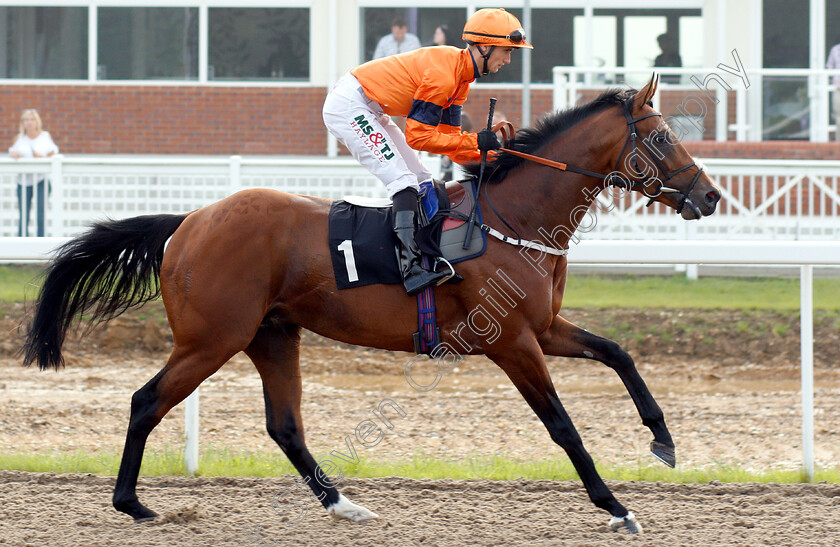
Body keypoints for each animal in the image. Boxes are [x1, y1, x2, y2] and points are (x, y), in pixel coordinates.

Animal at [18, 74, 716, 536]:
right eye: (660, 137)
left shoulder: (543, 328)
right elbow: (563, 426)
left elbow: (620, 354)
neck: (513, 219)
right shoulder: (512, 342)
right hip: (211, 339)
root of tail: (188, 222)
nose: (709, 196)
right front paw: (616, 506)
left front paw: (662, 440)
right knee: (147, 401)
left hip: (272, 334)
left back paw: (344, 504)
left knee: (285, 425)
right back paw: (131, 503)